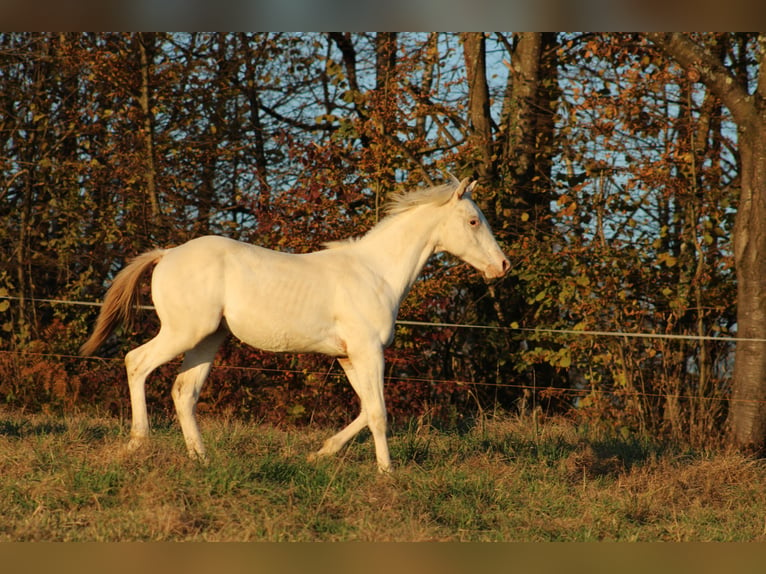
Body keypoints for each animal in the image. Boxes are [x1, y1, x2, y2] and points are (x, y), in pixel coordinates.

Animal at [81, 178, 510, 474]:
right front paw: (387, 472)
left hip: (208, 338)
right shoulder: (368, 351)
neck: (376, 274)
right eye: (474, 221)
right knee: (136, 362)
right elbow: (378, 412)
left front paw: (319, 453)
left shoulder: (349, 357)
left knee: (184, 390)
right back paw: (138, 442)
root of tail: (166, 253)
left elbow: (366, 407)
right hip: (183, 332)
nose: (502, 266)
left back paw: (201, 458)